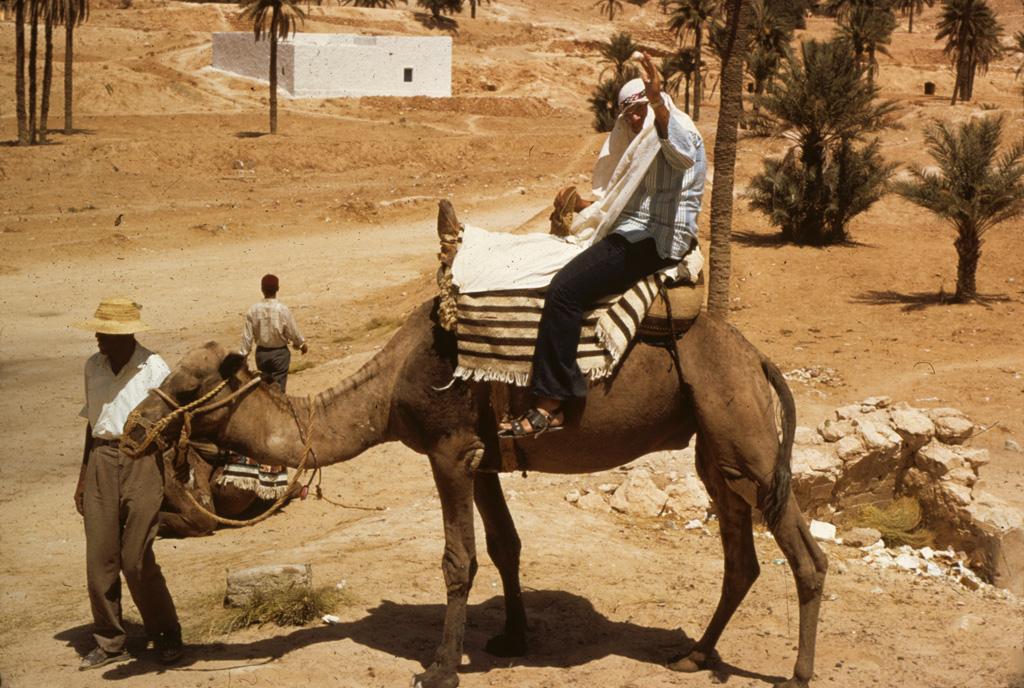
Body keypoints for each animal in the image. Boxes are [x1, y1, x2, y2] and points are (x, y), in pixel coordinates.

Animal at [123, 301, 827, 688]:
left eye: (186, 386)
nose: (131, 428)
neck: (389, 391)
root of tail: (758, 357)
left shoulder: (449, 452)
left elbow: (457, 560)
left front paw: (439, 669)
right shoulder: (485, 461)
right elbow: (505, 546)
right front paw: (512, 639)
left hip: (747, 439)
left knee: (807, 558)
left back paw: (796, 675)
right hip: (717, 451)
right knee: (742, 558)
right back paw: (694, 655)